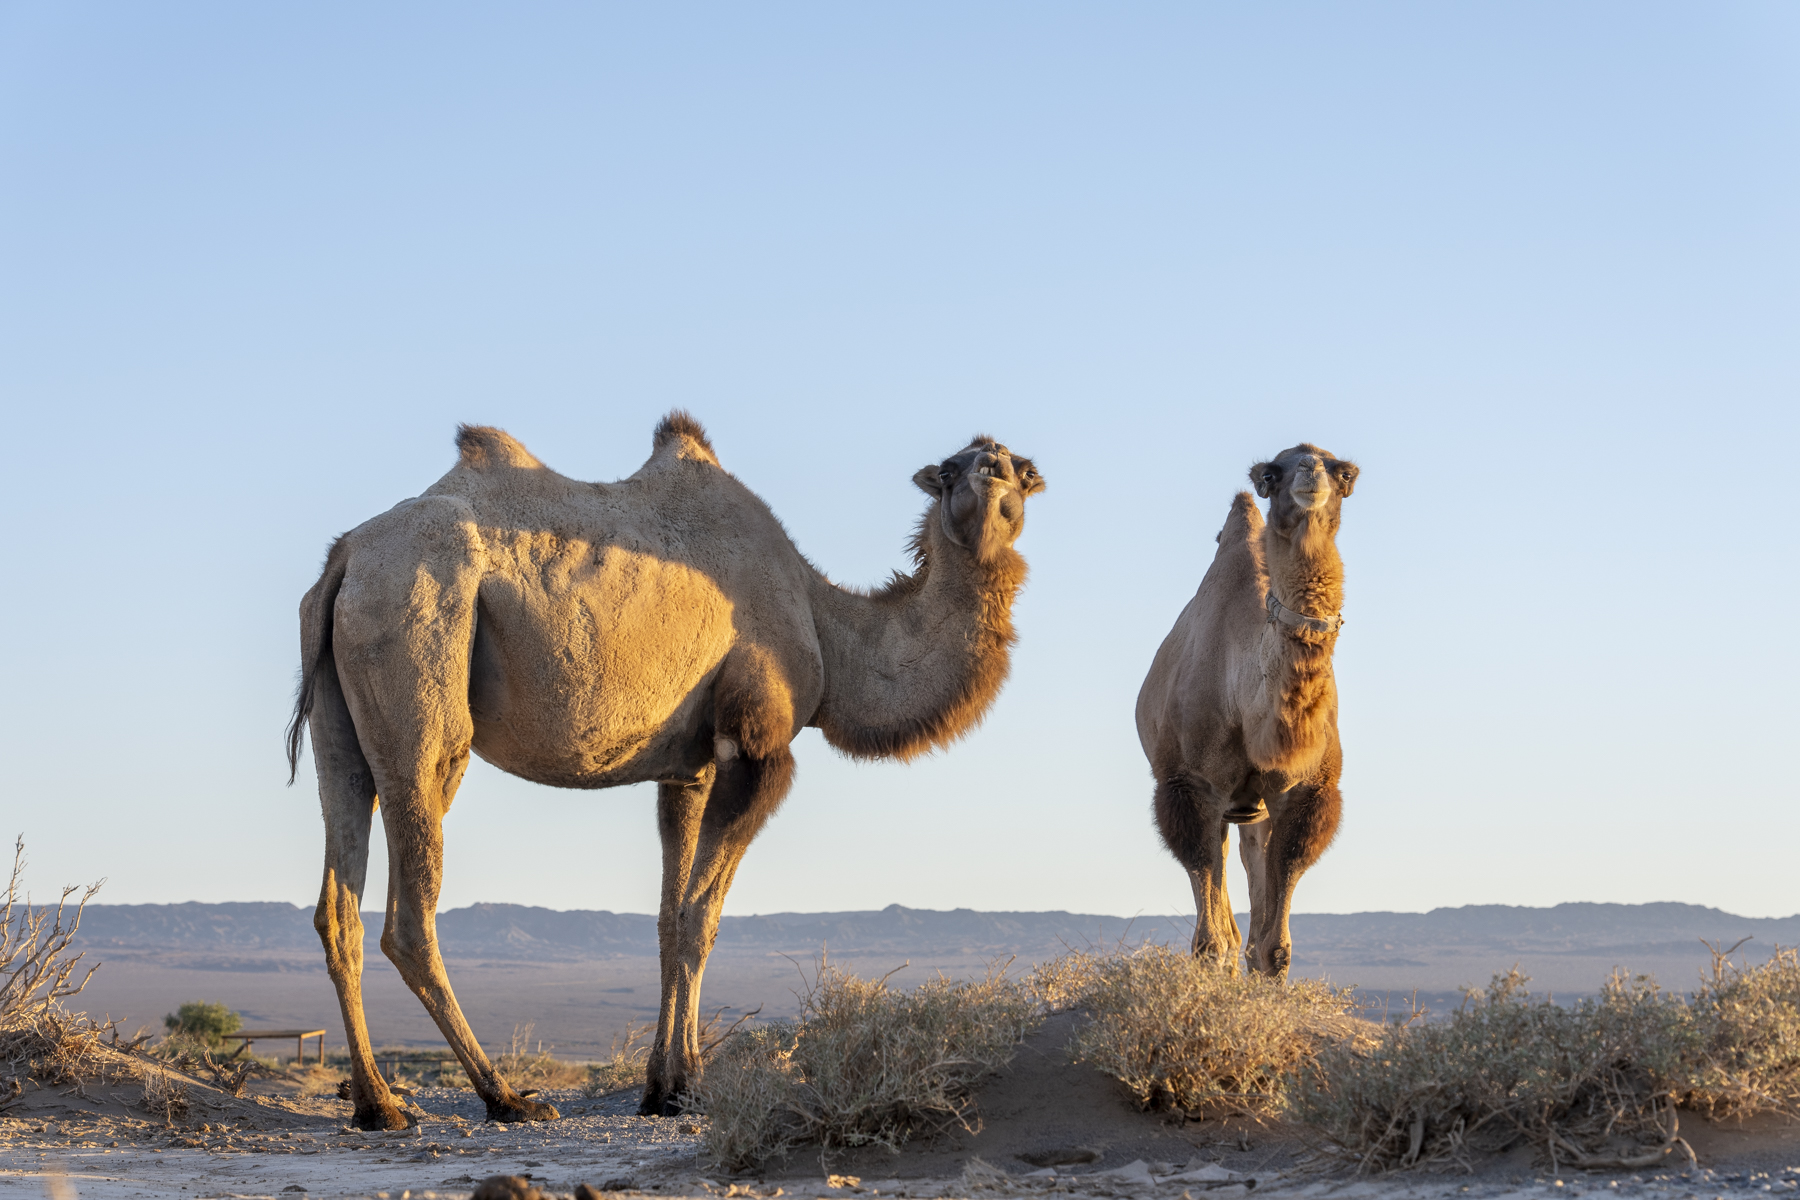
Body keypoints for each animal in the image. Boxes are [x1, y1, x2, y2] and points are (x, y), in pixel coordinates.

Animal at [285, 413, 1045, 1130]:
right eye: (962, 468)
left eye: (1008, 464)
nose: (1004, 479)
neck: (825, 625)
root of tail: (344, 559)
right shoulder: (755, 749)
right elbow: (702, 917)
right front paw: (687, 1086)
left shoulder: (689, 769)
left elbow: (669, 920)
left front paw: (665, 1087)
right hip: (421, 675)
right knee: (410, 909)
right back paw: (504, 1097)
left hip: (337, 724)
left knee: (339, 903)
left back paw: (378, 1104)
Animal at [1135, 444, 1357, 980]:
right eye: (1272, 473)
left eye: (1344, 473)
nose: (1311, 471)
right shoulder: (1190, 786)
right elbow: (1211, 941)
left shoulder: (1306, 792)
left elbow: (1274, 948)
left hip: (1252, 807)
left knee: (1252, 864)